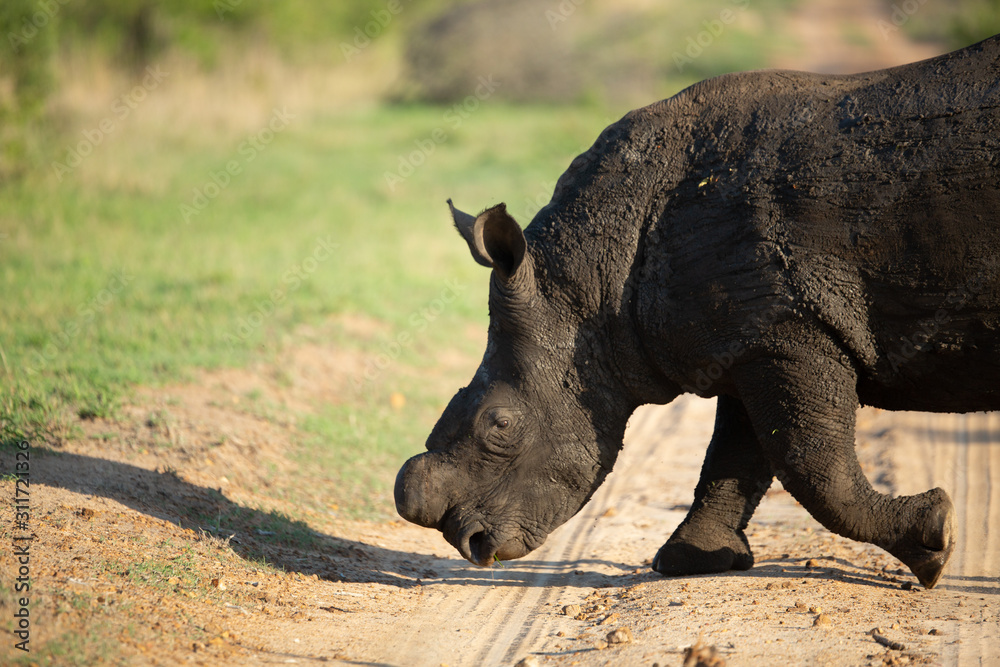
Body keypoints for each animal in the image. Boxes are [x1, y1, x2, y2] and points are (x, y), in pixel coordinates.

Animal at [394, 36, 1000, 589]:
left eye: (499, 424)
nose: (472, 544)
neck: (595, 284)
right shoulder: (750, 334)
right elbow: (736, 455)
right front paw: (694, 560)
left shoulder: (789, 328)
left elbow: (813, 465)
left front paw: (935, 542)